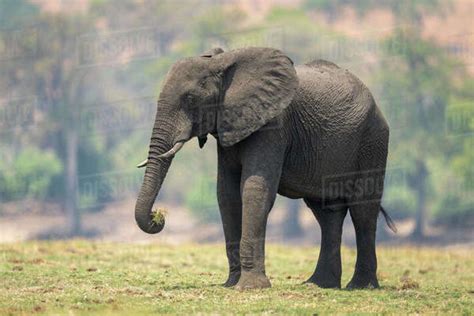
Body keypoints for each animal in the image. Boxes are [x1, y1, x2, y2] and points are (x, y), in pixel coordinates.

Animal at [135, 45, 394, 290]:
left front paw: (249, 287)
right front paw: (231, 284)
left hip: (373, 139)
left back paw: (360, 286)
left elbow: (254, 189)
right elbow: (227, 194)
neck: (223, 63)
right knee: (326, 213)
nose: (158, 216)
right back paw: (319, 284)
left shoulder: (273, 125)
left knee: (363, 210)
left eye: (190, 99)